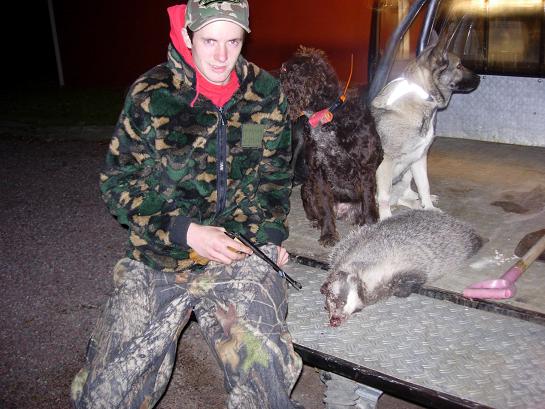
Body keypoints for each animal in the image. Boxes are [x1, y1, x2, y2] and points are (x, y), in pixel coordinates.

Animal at [280, 46, 383, 246]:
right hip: (307, 187)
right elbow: (326, 209)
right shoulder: (319, 171)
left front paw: (371, 226)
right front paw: (328, 234)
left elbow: (368, 202)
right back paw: (317, 222)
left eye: (285, 70)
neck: (325, 114)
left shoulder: (366, 166)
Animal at [320, 209, 484, 327]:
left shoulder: (406, 264)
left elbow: (414, 279)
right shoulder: (344, 247)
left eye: (341, 301)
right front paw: (324, 285)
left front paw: (401, 291)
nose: (334, 320)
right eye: (328, 306)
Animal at [370, 33, 480, 220]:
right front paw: (385, 218)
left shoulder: (420, 159)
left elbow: (424, 185)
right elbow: (384, 196)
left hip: (407, 172)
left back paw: (417, 201)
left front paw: (428, 207)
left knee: (404, 193)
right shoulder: (385, 164)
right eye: (459, 65)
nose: (480, 78)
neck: (421, 94)